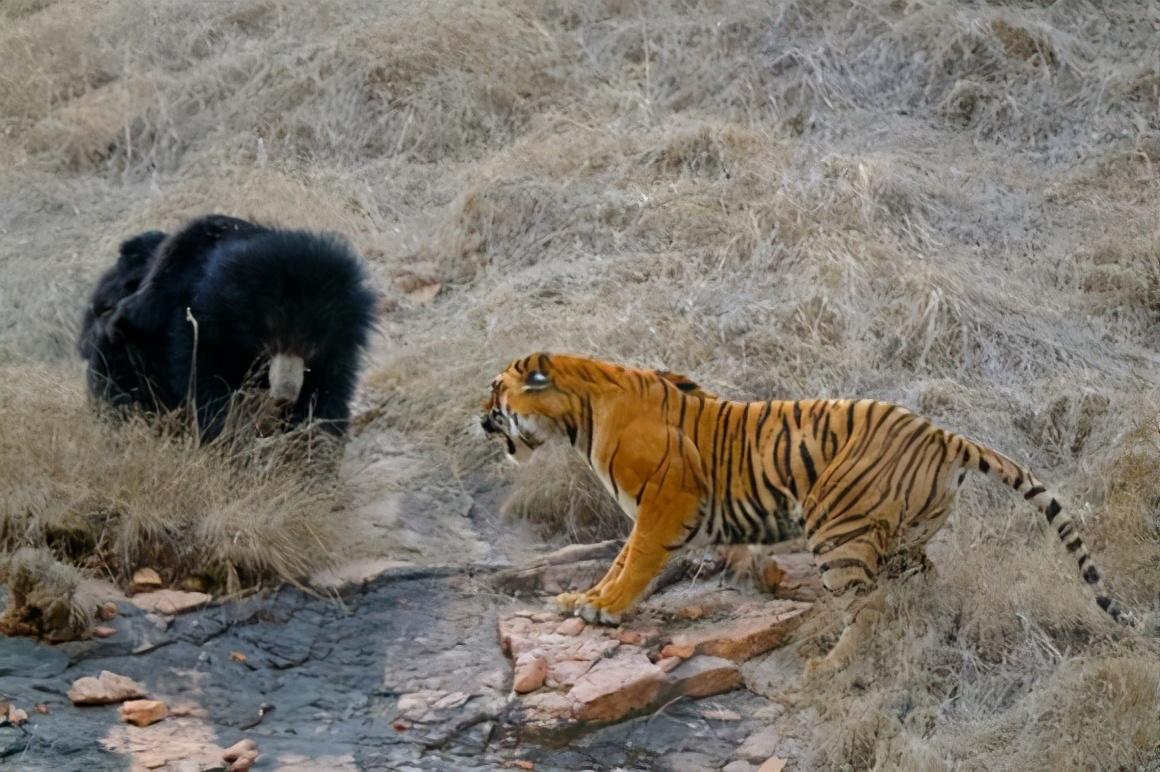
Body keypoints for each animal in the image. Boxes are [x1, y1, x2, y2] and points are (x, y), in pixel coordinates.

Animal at [82, 216, 380, 442]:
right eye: (269, 341)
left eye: (312, 347)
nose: (285, 396)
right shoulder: (198, 328)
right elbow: (206, 383)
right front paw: (231, 435)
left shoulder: (339, 350)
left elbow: (328, 393)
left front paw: (310, 441)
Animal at [480, 352, 1132, 672]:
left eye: (496, 392)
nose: (479, 418)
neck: (578, 417)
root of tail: (943, 434)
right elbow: (618, 561)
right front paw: (581, 600)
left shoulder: (666, 504)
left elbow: (634, 561)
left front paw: (603, 610)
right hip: (903, 539)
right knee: (920, 585)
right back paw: (922, 629)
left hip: (836, 531)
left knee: (867, 607)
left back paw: (830, 665)